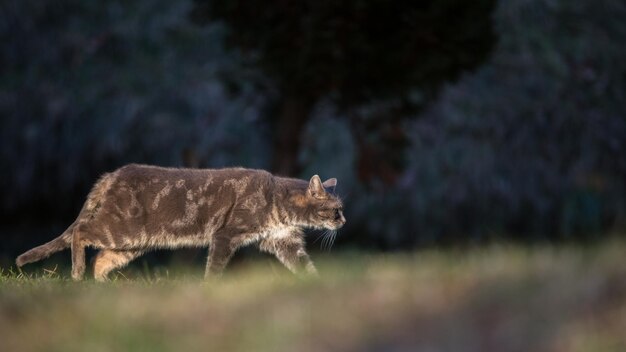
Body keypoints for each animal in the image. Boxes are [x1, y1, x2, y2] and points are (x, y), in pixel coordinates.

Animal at [14, 164, 344, 282]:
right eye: (336, 209)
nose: (344, 220)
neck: (278, 199)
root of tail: (111, 175)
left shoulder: (284, 241)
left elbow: (305, 266)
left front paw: (316, 285)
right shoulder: (225, 235)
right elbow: (214, 267)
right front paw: (210, 287)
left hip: (130, 244)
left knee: (102, 260)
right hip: (119, 230)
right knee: (81, 234)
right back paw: (77, 273)